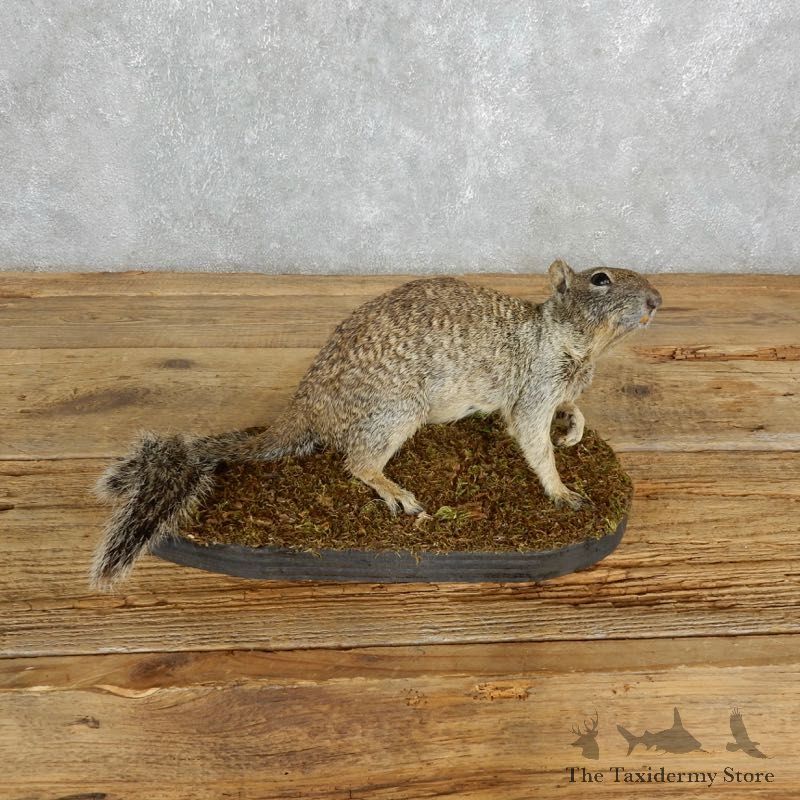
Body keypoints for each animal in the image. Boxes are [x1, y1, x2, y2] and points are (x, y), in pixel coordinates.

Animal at [91, 260, 661, 589]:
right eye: (601, 279)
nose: (657, 300)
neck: (580, 345)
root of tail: (308, 406)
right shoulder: (535, 389)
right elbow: (531, 440)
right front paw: (562, 490)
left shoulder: (558, 388)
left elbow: (573, 412)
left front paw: (574, 431)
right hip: (394, 413)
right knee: (357, 463)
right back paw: (396, 492)